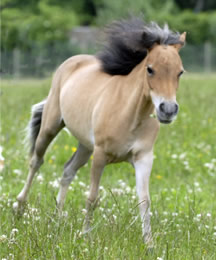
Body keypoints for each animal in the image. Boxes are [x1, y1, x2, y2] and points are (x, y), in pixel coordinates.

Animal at [13, 18, 186, 246]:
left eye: (180, 72)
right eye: (150, 69)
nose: (167, 110)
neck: (131, 115)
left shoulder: (143, 158)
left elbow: (144, 201)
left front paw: (149, 245)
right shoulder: (100, 155)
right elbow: (92, 198)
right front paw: (85, 236)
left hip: (85, 146)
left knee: (68, 171)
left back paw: (58, 218)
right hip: (50, 127)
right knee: (36, 161)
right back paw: (19, 207)